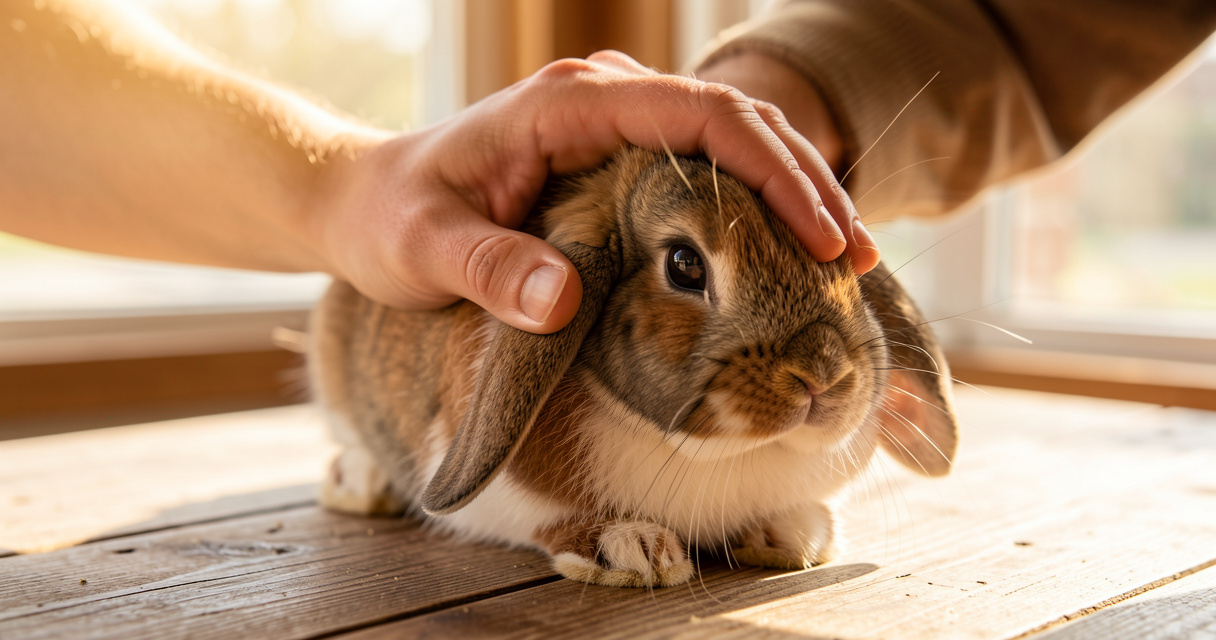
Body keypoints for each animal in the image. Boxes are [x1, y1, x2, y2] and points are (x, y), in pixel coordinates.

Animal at [308, 146, 959, 588]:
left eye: (848, 268)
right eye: (684, 264)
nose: (823, 374)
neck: (710, 455)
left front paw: (791, 533)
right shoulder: (494, 494)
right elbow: (538, 517)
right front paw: (633, 550)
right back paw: (360, 482)